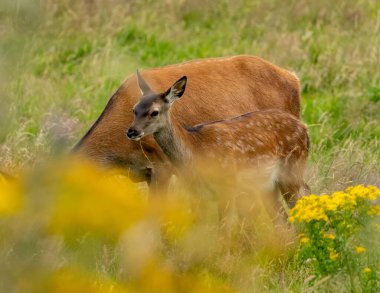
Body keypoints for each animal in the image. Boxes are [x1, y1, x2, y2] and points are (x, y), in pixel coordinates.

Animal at [126, 72, 310, 222]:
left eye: (154, 112)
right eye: (134, 109)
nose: (131, 131)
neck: (195, 148)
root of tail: (305, 129)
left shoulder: (227, 186)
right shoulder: (198, 194)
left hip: (293, 170)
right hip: (268, 185)